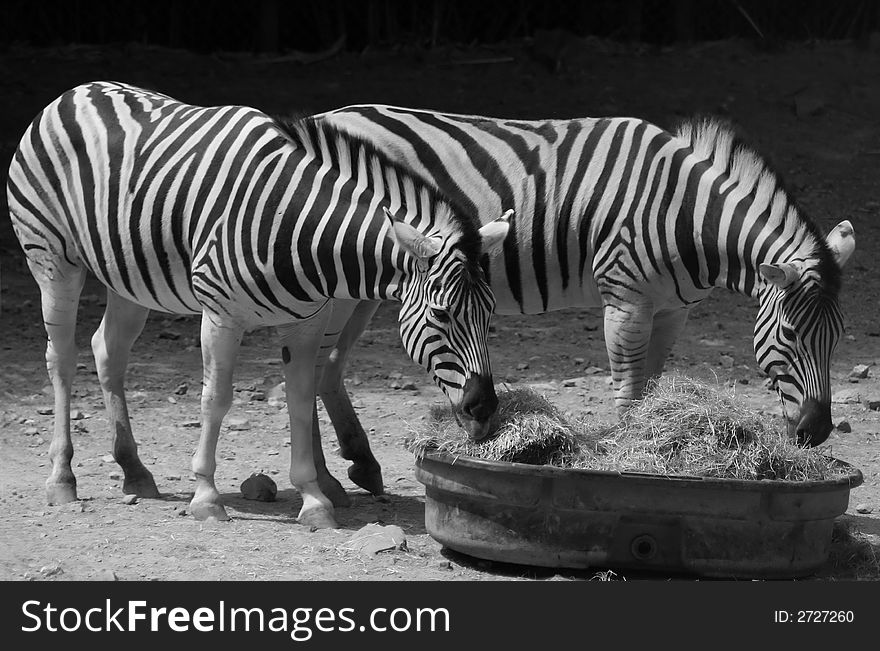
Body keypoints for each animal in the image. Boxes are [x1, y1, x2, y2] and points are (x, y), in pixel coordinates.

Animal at [5, 83, 508, 528]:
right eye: (441, 314)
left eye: (489, 314)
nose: (485, 412)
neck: (299, 226)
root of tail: (75, 92)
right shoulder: (220, 317)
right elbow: (216, 399)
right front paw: (206, 497)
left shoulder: (306, 324)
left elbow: (300, 400)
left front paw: (314, 500)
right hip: (51, 258)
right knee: (61, 357)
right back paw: (62, 479)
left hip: (127, 277)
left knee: (108, 350)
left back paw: (135, 471)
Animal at [306, 104, 856, 496]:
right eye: (790, 335)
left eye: (838, 338)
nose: (817, 433)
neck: (686, 214)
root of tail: (323, 118)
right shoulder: (625, 300)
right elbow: (628, 392)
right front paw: (630, 461)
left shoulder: (672, 310)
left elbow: (650, 386)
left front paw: (651, 443)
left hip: (371, 283)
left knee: (327, 362)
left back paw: (359, 463)